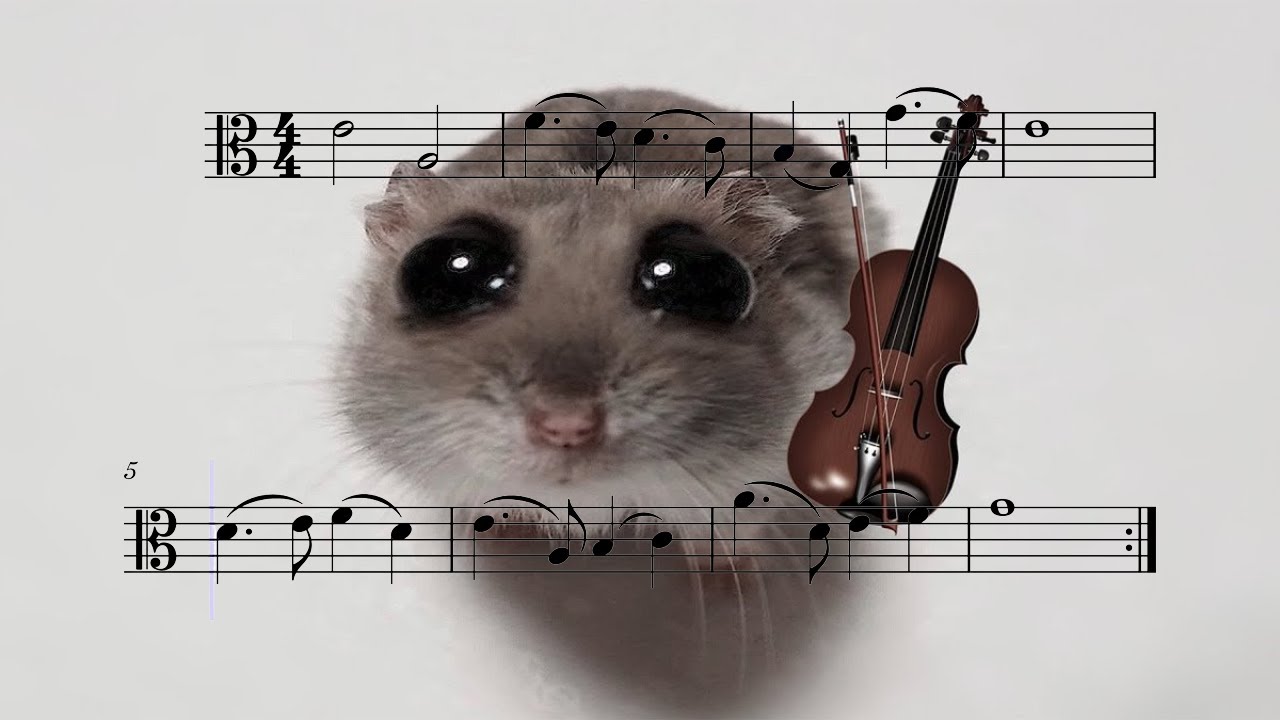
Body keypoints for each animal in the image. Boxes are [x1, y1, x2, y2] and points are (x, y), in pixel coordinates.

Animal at [335, 87, 889, 715]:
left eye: (706, 279)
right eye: (447, 270)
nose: (566, 427)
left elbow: (728, 537)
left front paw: (732, 588)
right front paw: (501, 536)